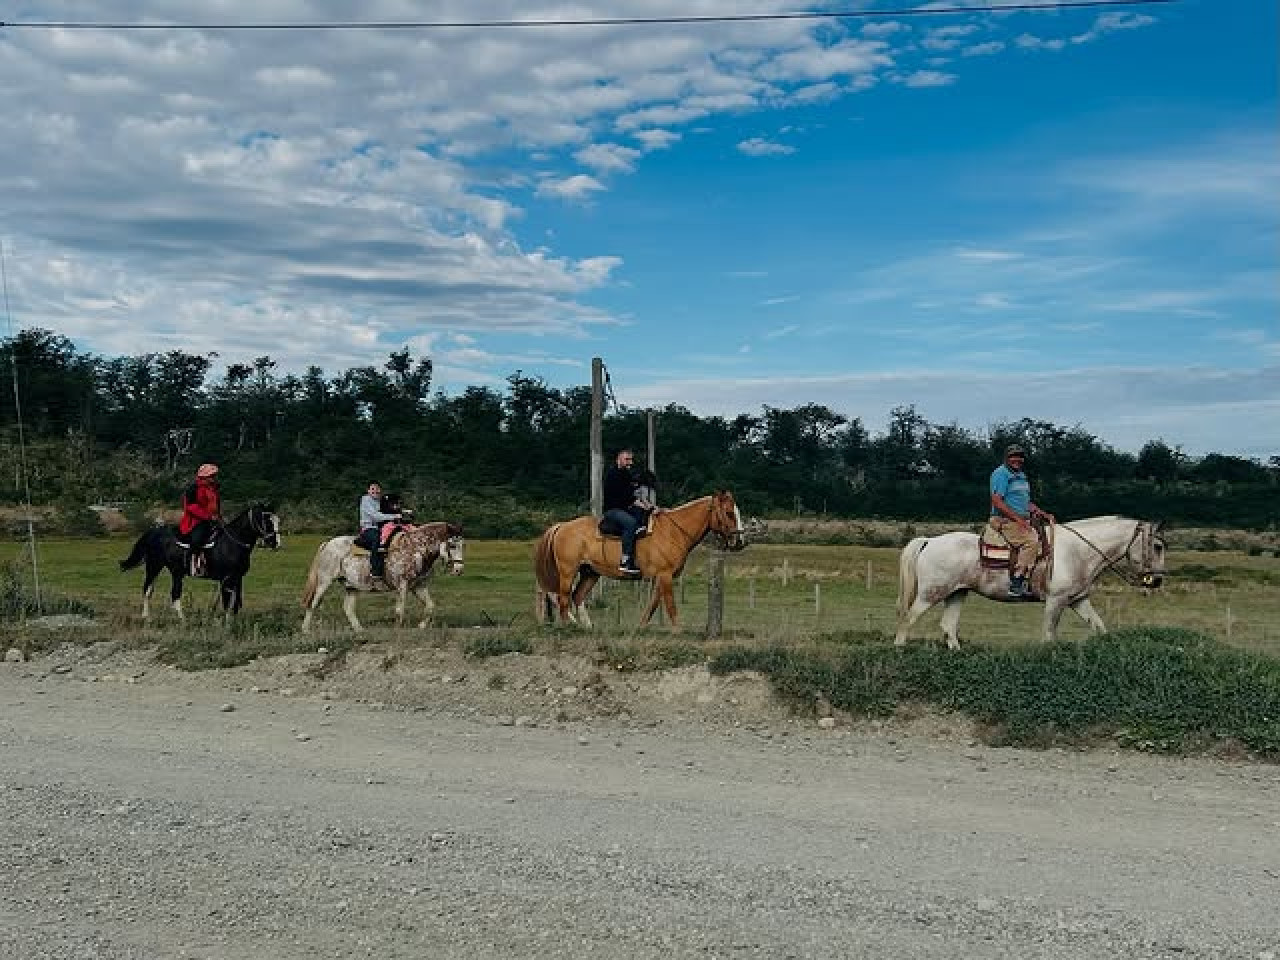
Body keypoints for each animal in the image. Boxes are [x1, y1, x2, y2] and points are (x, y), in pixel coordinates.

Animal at [117, 504, 282, 624]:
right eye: (267, 521)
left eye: (277, 521)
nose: (276, 543)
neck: (232, 543)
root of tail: (154, 532)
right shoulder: (226, 579)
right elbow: (227, 601)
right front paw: (228, 624)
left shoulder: (237, 578)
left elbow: (236, 601)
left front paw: (234, 622)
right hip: (154, 566)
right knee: (152, 591)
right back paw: (168, 618)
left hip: (174, 572)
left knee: (164, 593)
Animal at [299, 522, 465, 634]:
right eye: (452, 545)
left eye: (462, 544)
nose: (458, 569)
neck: (415, 549)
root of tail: (327, 544)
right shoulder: (402, 585)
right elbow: (399, 610)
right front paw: (397, 629)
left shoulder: (419, 586)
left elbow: (430, 606)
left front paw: (421, 626)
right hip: (325, 582)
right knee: (313, 603)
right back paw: (305, 630)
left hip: (351, 586)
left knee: (348, 608)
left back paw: (360, 630)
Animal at [532, 496, 747, 632]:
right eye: (729, 513)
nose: (740, 541)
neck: (674, 531)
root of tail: (561, 526)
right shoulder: (665, 575)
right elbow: (670, 604)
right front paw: (677, 629)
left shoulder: (662, 577)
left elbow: (653, 603)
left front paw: (641, 626)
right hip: (568, 572)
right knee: (562, 598)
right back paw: (567, 626)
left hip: (590, 573)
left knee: (577, 596)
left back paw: (586, 626)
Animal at [896, 514, 1167, 650]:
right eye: (1157, 545)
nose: (1156, 580)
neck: (1077, 551)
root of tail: (929, 541)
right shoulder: (1056, 601)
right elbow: (1049, 634)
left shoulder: (1078, 600)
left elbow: (1099, 627)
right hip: (931, 594)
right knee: (908, 619)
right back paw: (899, 649)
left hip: (957, 593)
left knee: (948, 626)